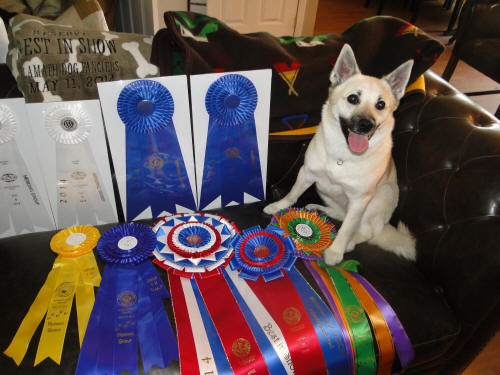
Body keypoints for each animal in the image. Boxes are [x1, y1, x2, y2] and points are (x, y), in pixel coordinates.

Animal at [264, 44, 416, 266]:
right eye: (353, 98)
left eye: (380, 105)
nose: (365, 125)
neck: (344, 155)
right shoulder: (306, 173)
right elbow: (292, 194)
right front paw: (278, 206)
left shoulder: (360, 200)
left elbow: (345, 231)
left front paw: (336, 251)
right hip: (324, 191)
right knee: (342, 216)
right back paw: (320, 209)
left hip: (382, 196)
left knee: (365, 231)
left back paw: (351, 242)